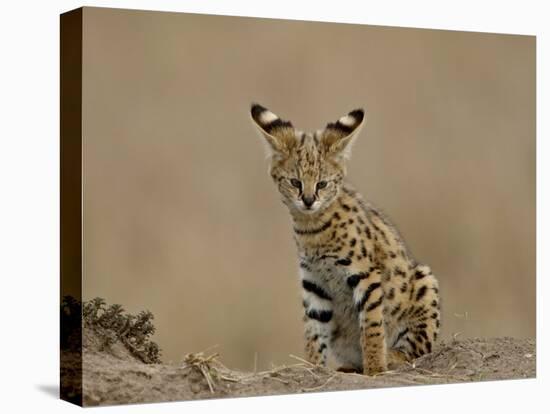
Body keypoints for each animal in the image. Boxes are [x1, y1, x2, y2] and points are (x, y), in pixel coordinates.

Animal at [252, 103, 442, 376]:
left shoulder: (365, 274)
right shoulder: (314, 281)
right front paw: (313, 369)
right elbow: (313, 331)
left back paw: (391, 357)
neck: (312, 229)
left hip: (425, 281)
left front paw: (375, 369)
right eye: (295, 182)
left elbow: (372, 327)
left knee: (417, 350)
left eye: (322, 184)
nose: (308, 200)